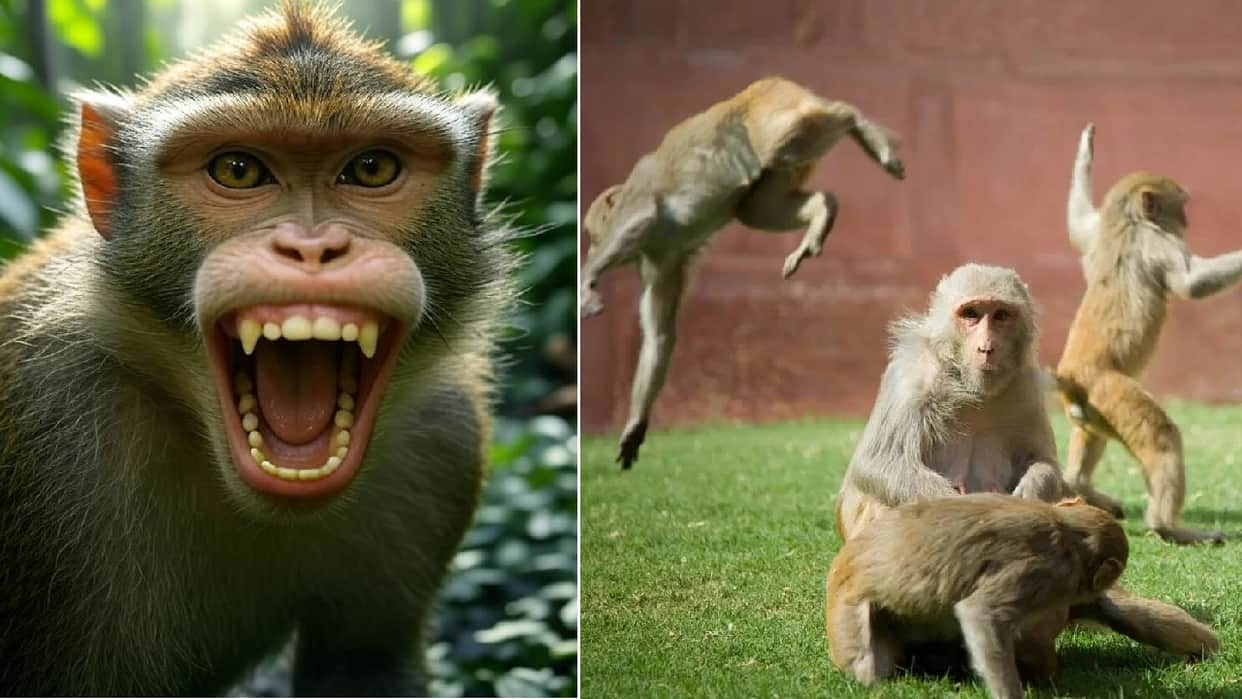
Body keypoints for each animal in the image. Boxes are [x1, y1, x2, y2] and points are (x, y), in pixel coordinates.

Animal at [0, 3, 517, 695]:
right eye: (238, 170)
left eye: (372, 169)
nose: (312, 247)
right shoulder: (53, 416)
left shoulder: (443, 444)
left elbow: (366, 665)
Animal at [581, 77, 905, 468]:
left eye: (593, 232)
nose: (592, 245)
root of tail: (764, 86)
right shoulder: (660, 262)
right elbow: (660, 336)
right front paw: (634, 427)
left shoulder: (642, 210)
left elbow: (641, 217)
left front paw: (587, 280)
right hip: (772, 166)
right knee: (755, 206)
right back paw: (823, 209)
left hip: (768, 117)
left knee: (788, 144)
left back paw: (858, 123)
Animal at [826, 494, 1218, 698]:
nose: (1093, 586)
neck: (1066, 530)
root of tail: (843, 564)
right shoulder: (1047, 572)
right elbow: (981, 613)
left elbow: (1116, 612)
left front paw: (1204, 649)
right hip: (846, 613)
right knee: (868, 665)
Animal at [834, 264, 1068, 541]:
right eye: (971, 314)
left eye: (1000, 315)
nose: (986, 348)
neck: (967, 380)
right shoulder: (912, 375)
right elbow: (876, 462)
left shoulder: (1026, 386)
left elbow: (1044, 461)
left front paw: (1030, 492)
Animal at [1053, 123, 1238, 545]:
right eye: (1180, 206)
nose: (1186, 220)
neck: (1128, 221)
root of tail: (1071, 377)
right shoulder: (1156, 242)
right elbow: (1193, 283)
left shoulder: (1099, 229)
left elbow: (1077, 223)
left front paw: (1086, 149)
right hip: (1110, 389)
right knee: (1163, 439)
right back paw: (1170, 527)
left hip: (1091, 406)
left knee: (1090, 434)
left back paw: (1082, 488)